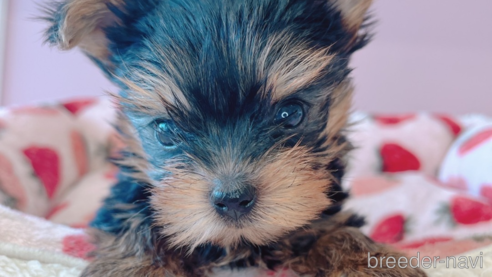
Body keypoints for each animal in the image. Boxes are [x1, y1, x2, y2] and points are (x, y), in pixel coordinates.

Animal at [43, 0, 426, 274]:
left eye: (291, 114)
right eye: (166, 131)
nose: (232, 199)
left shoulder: (322, 204)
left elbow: (335, 228)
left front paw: (368, 261)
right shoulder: (124, 203)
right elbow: (137, 225)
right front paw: (137, 265)